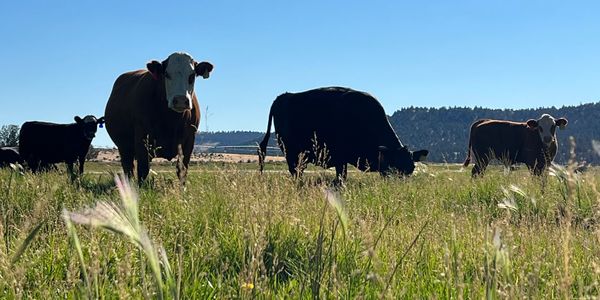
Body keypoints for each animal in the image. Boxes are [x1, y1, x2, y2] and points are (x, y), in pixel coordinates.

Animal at [103, 52, 213, 183]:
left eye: (192, 75)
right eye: (166, 74)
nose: (180, 100)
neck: (171, 121)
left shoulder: (189, 141)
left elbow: (182, 170)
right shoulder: (142, 139)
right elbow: (143, 170)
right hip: (124, 147)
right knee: (128, 170)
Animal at [256, 86, 426, 180]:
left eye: (411, 170)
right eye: (392, 169)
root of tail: (283, 97)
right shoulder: (341, 158)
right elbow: (341, 178)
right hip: (292, 152)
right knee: (295, 171)